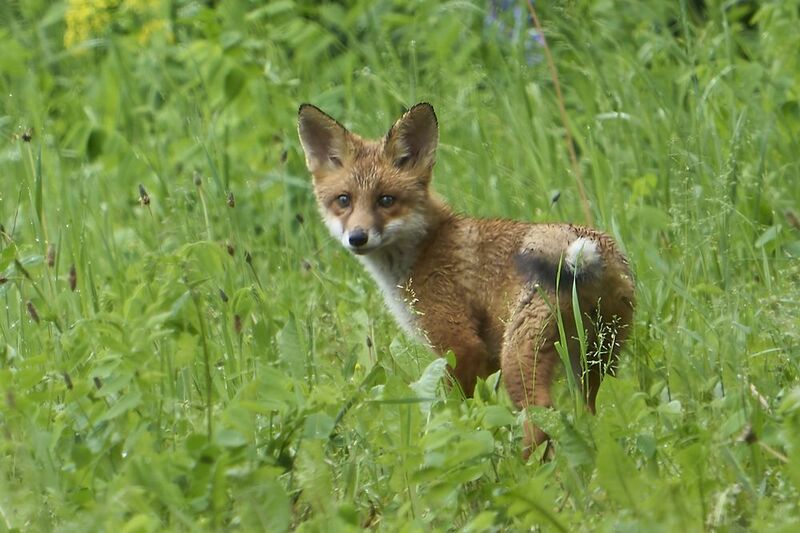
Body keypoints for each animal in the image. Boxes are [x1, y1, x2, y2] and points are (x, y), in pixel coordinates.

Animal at [297, 102, 635, 456]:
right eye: (344, 200)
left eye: (386, 200)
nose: (357, 237)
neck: (425, 248)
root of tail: (588, 245)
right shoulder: (486, 360)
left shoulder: (460, 345)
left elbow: (459, 412)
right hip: (596, 360)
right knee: (591, 411)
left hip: (521, 359)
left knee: (542, 419)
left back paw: (527, 466)